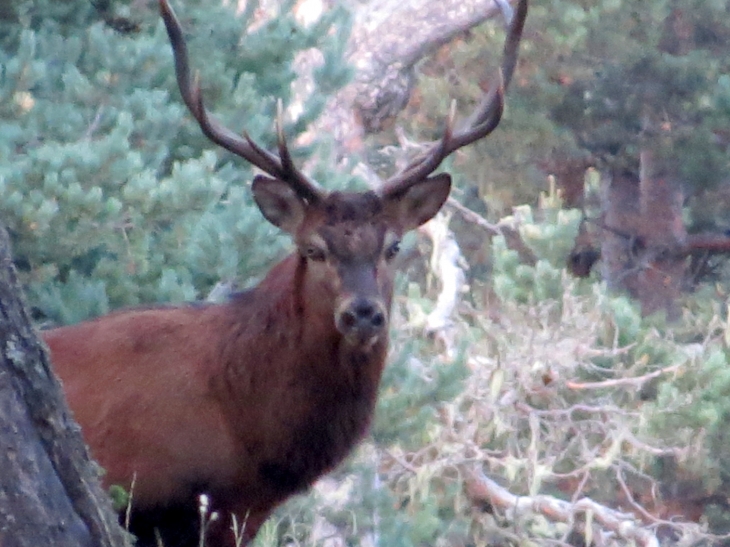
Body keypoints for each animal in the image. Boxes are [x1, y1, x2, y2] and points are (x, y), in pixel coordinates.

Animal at [42, 2, 528, 544]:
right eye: (313, 248)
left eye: (394, 246)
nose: (363, 314)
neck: (249, 439)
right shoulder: (155, 497)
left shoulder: (242, 512)